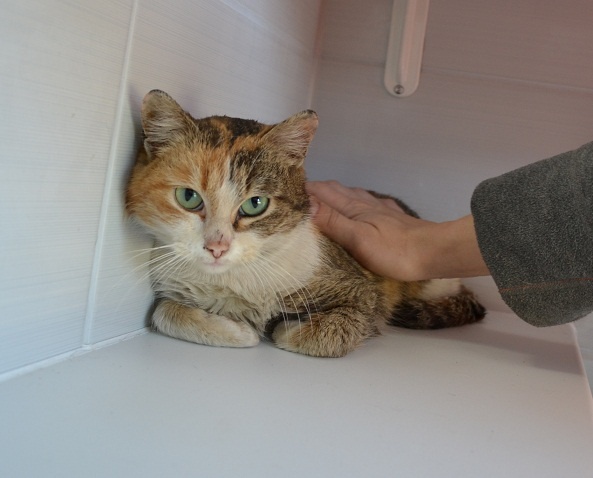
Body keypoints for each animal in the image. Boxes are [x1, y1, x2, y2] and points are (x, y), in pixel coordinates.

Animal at [126, 89, 485, 358]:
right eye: (188, 197)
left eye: (255, 204)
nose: (217, 246)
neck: (234, 280)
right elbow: (163, 312)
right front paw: (238, 330)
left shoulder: (363, 294)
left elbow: (316, 334)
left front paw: (277, 328)